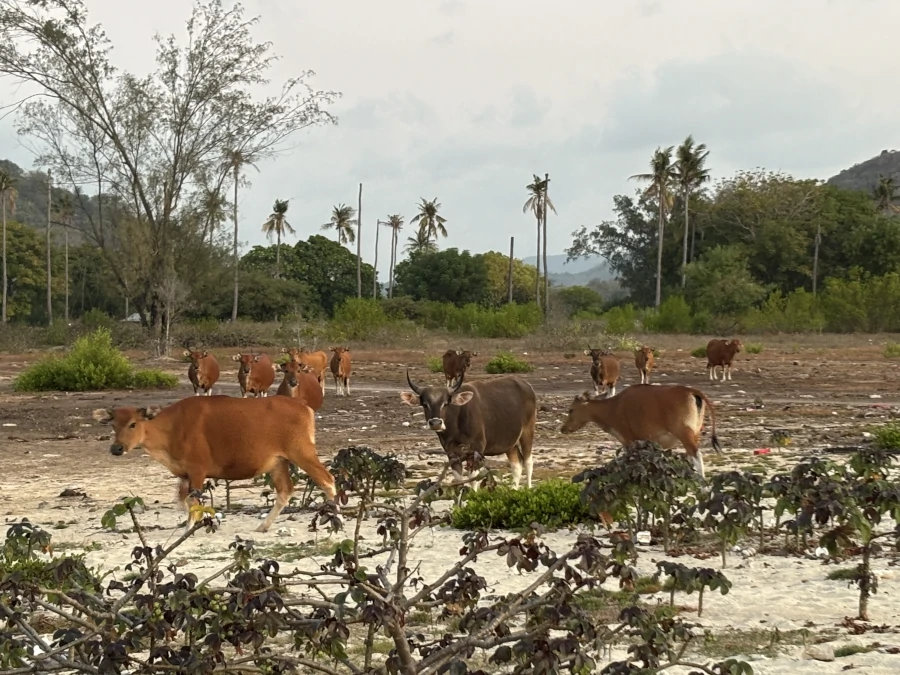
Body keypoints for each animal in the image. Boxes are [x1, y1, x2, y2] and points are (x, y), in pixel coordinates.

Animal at [92, 396, 337, 533]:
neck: (171, 429)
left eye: (133, 424)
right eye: (113, 424)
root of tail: (305, 407)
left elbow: (193, 501)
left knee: (328, 480)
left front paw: (190, 527)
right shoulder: (185, 474)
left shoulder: (198, 470)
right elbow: (182, 501)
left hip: (302, 452)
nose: (116, 448)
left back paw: (335, 517)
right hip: (278, 462)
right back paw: (263, 526)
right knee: (286, 490)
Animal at [400, 371, 537, 489]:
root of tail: (527, 385)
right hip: (510, 443)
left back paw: (529, 488)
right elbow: (458, 480)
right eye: (425, 404)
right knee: (516, 466)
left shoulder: (477, 448)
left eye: (446, 403)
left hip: (527, 430)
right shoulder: (451, 452)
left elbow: (473, 479)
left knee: (528, 462)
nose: (435, 423)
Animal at [559, 384, 722, 478]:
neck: (613, 407)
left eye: (571, 410)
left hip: (684, 434)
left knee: (696, 455)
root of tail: (691, 391)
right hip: (694, 434)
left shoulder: (628, 441)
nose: (563, 429)